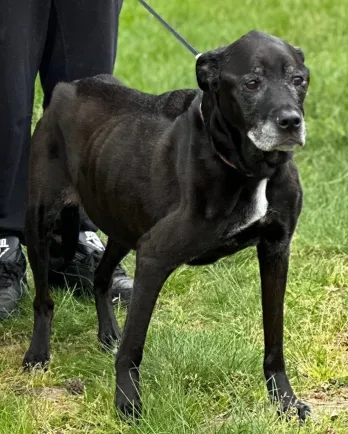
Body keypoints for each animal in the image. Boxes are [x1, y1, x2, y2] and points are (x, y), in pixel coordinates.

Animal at [24, 32, 312, 422]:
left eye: (299, 80)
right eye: (252, 83)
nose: (291, 122)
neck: (249, 169)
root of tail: (67, 88)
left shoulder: (276, 250)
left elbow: (275, 340)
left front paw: (284, 401)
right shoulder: (154, 257)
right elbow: (133, 346)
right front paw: (127, 404)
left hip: (122, 223)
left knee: (101, 277)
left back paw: (107, 333)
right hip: (40, 221)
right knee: (44, 300)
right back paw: (38, 353)